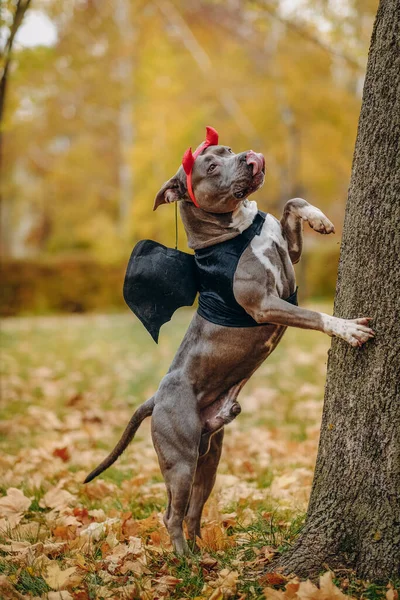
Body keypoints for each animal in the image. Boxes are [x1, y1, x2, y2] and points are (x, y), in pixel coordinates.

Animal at [85, 129, 376, 556]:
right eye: (210, 166)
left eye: (226, 149)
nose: (246, 156)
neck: (236, 229)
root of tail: (156, 397)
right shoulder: (266, 303)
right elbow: (314, 316)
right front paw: (347, 329)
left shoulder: (289, 258)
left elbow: (290, 203)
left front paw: (319, 218)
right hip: (181, 460)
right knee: (171, 513)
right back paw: (185, 562)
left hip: (211, 456)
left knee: (193, 509)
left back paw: (208, 555)